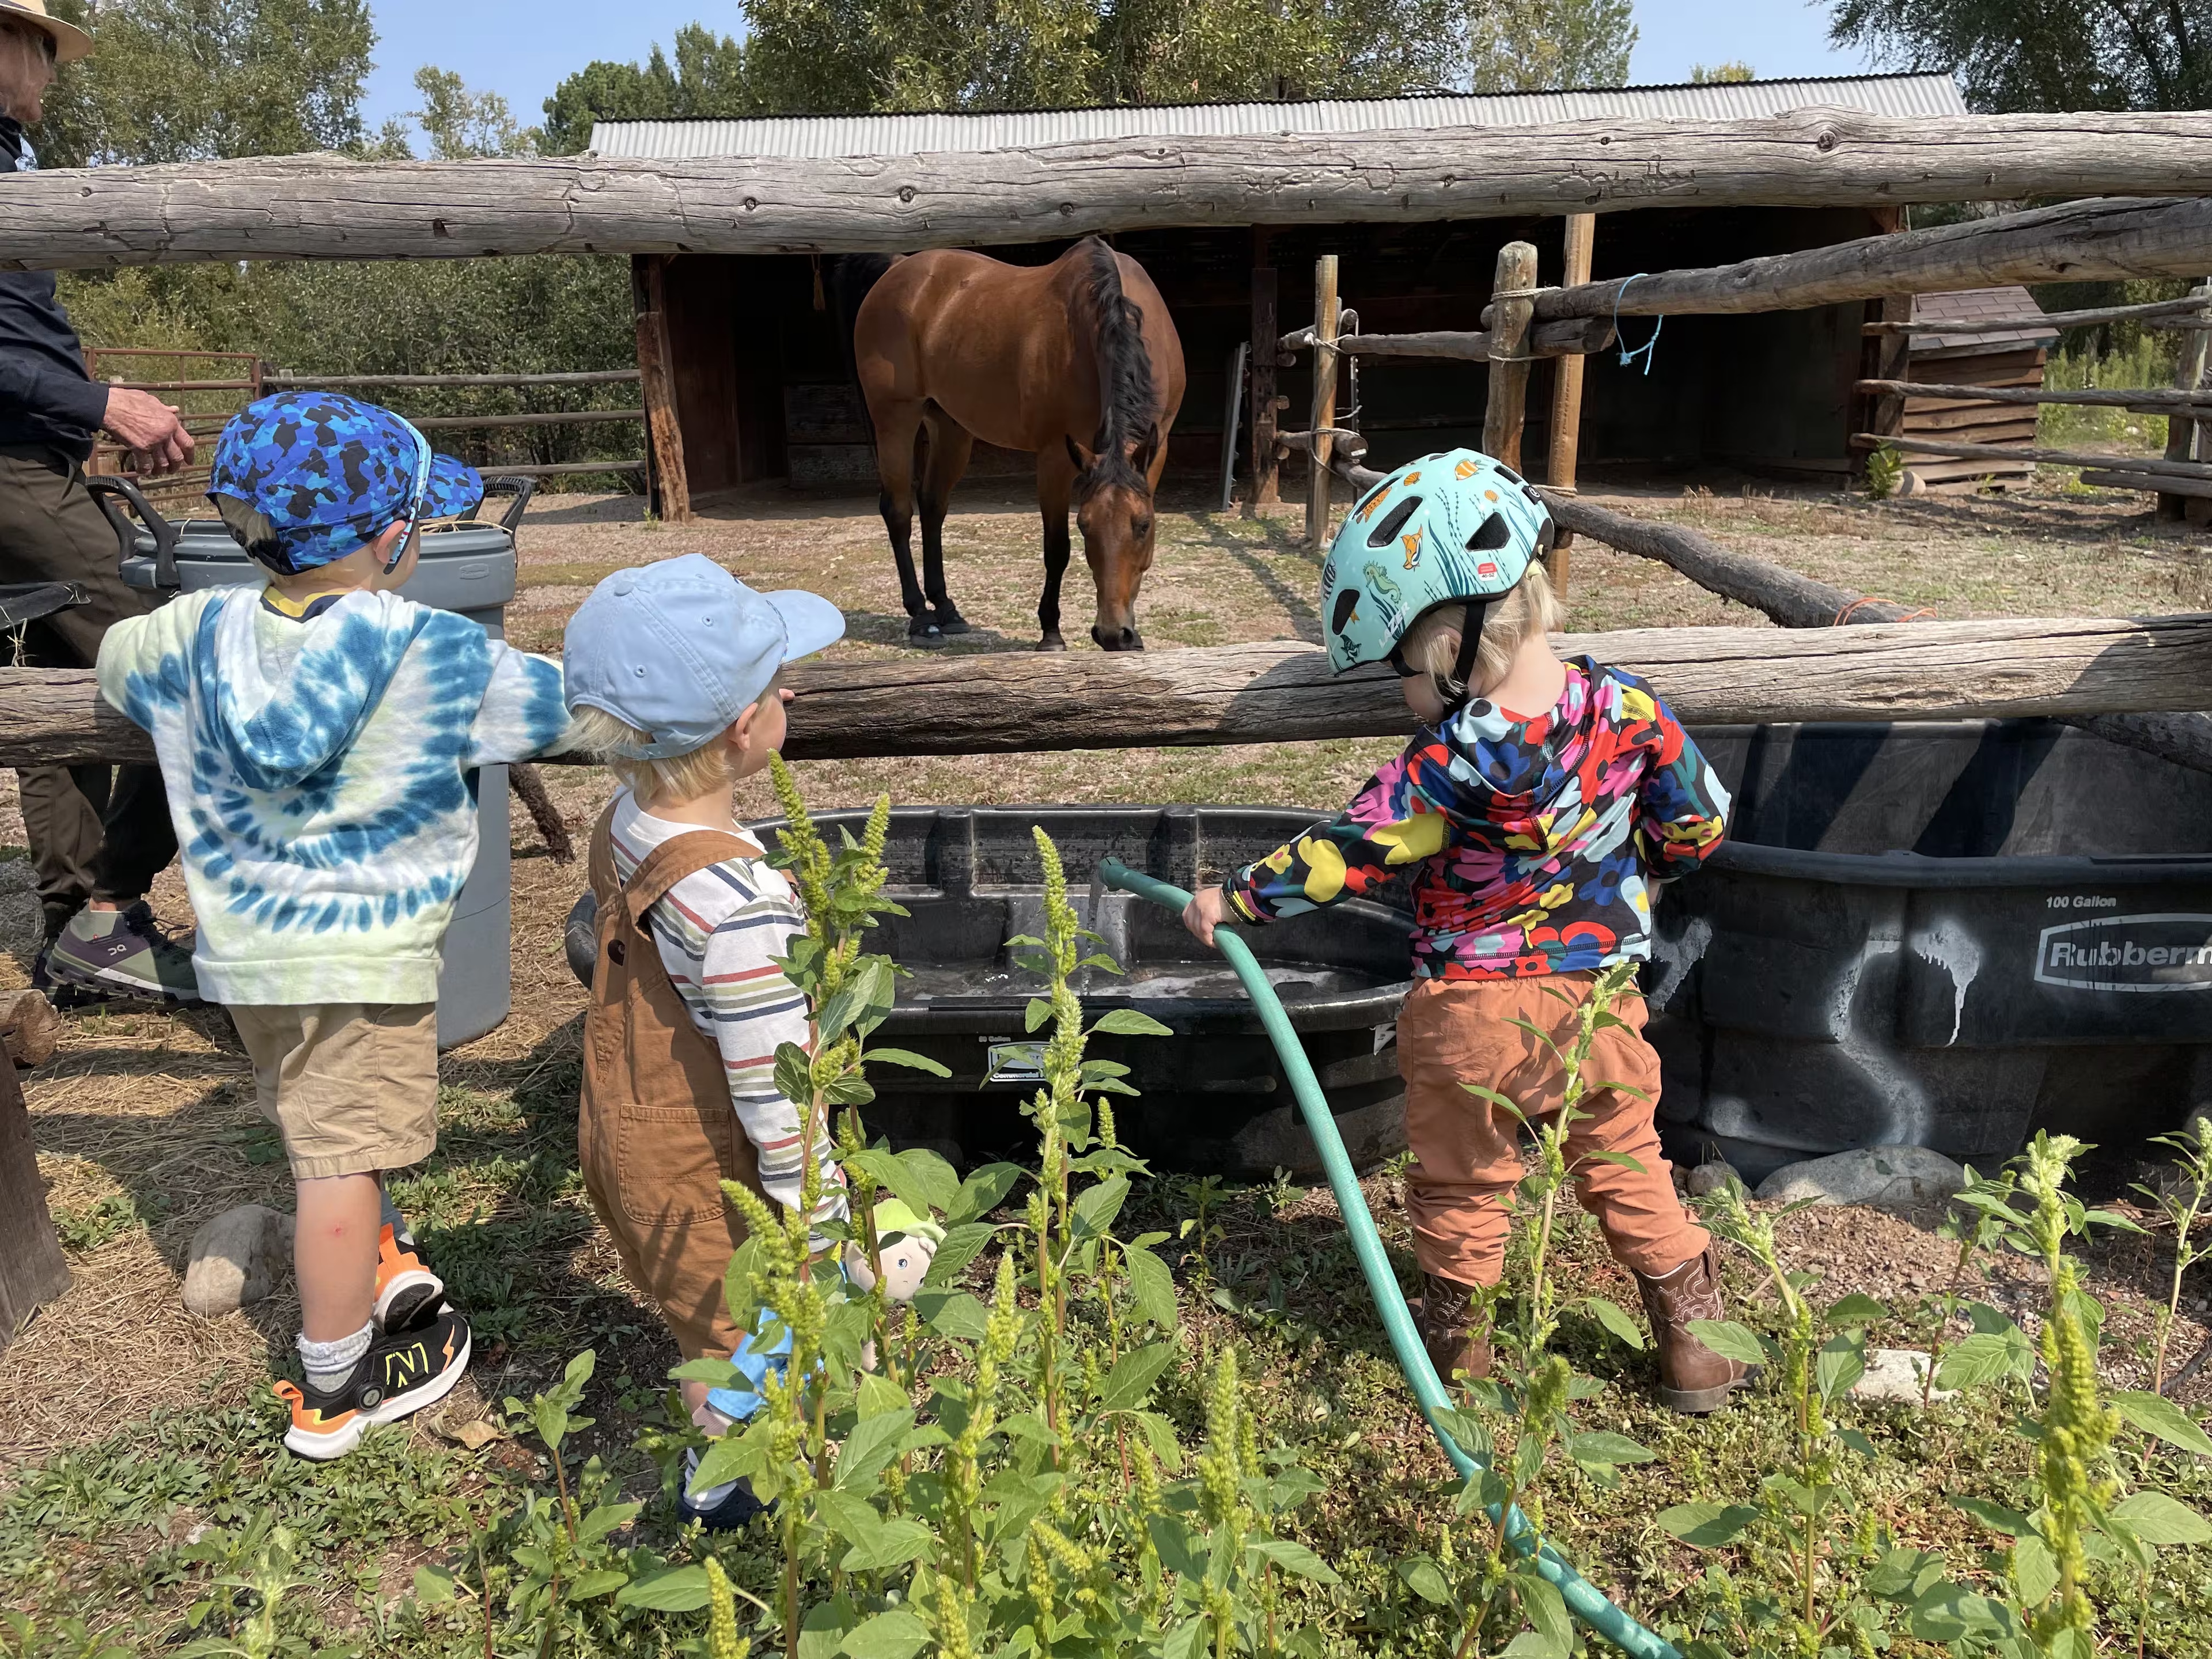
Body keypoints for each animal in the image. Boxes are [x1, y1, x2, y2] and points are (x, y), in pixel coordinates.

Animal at [844, 240, 1185, 654]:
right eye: (1084, 525)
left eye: (1143, 525)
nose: (1111, 634)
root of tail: (898, 268)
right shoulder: (1055, 457)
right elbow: (1057, 549)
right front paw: (1051, 633)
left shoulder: (1157, 447)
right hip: (896, 418)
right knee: (897, 511)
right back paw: (922, 618)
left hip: (950, 427)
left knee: (932, 505)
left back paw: (947, 609)